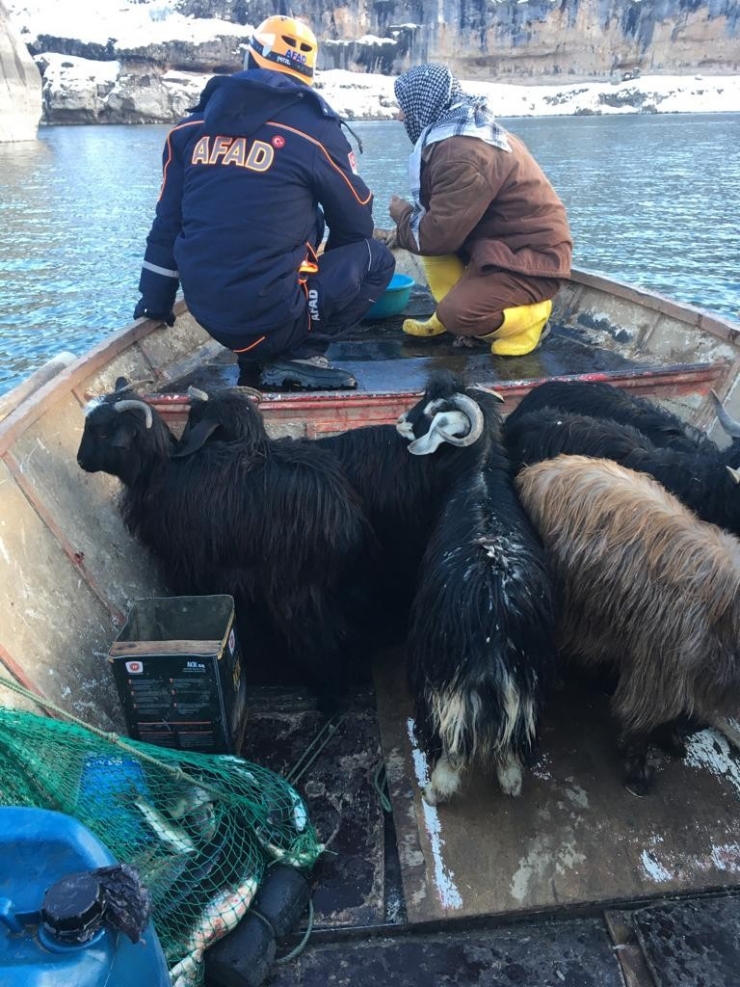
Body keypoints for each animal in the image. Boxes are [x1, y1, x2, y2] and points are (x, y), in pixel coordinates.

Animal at [78, 378, 382, 704]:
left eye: (104, 431)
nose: (81, 461)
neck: (159, 471)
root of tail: (344, 516)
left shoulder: (186, 561)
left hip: (295, 584)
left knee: (320, 631)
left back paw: (328, 693)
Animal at [396, 370, 552, 804]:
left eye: (432, 410)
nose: (400, 422)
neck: (479, 473)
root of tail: (495, 618)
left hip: (446, 680)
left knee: (452, 741)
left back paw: (437, 789)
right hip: (524, 684)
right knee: (512, 744)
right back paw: (511, 780)